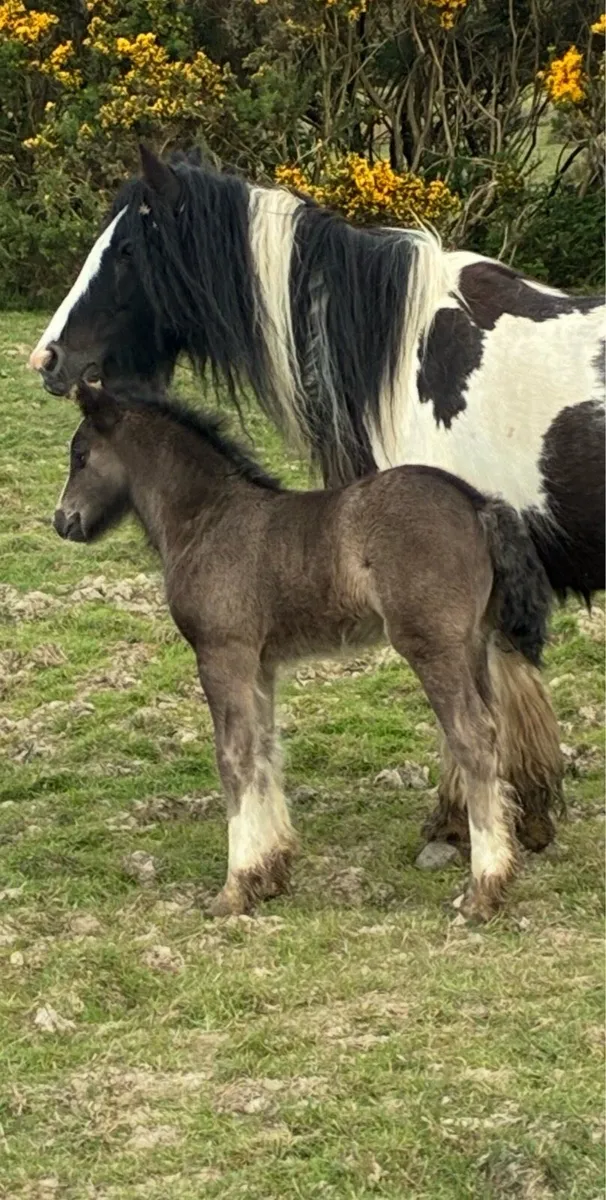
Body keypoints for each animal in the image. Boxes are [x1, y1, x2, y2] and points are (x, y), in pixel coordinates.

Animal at [54, 380, 553, 921]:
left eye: (80, 455)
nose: (63, 521)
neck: (207, 521)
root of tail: (478, 505)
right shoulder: (261, 663)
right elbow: (265, 748)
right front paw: (271, 872)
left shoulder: (222, 654)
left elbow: (233, 756)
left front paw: (234, 889)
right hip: (473, 645)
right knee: (494, 731)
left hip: (434, 648)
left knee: (473, 739)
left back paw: (481, 892)